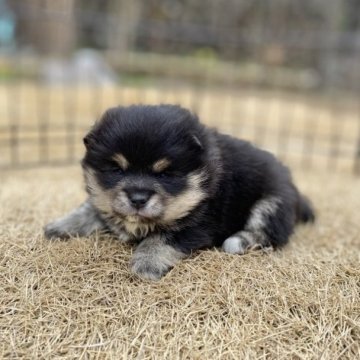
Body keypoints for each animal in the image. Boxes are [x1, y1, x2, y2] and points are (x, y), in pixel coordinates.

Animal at [45, 104, 316, 282]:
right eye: (116, 169)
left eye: (165, 174)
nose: (138, 199)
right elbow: (92, 208)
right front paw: (60, 225)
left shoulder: (201, 223)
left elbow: (162, 237)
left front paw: (147, 262)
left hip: (271, 203)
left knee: (271, 234)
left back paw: (238, 241)